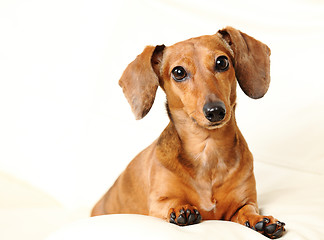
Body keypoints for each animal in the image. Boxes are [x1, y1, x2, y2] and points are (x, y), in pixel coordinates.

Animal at [92, 26, 286, 238]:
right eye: (178, 72)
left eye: (222, 62)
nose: (215, 111)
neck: (208, 149)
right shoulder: (157, 203)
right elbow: (172, 202)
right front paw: (182, 210)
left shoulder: (245, 202)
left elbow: (247, 210)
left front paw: (261, 221)